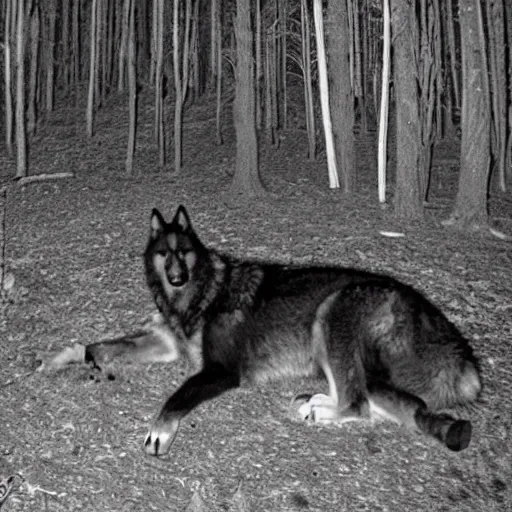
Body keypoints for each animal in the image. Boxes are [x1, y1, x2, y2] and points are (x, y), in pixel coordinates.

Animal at [86, 205, 482, 456]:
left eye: (183, 252)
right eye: (163, 255)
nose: (176, 277)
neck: (200, 291)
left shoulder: (221, 371)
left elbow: (176, 397)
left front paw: (160, 430)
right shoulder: (170, 344)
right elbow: (112, 345)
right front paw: (93, 355)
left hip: (332, 311)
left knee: (362, 404)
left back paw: (323, 409)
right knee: (394, 405)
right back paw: (317, 403)